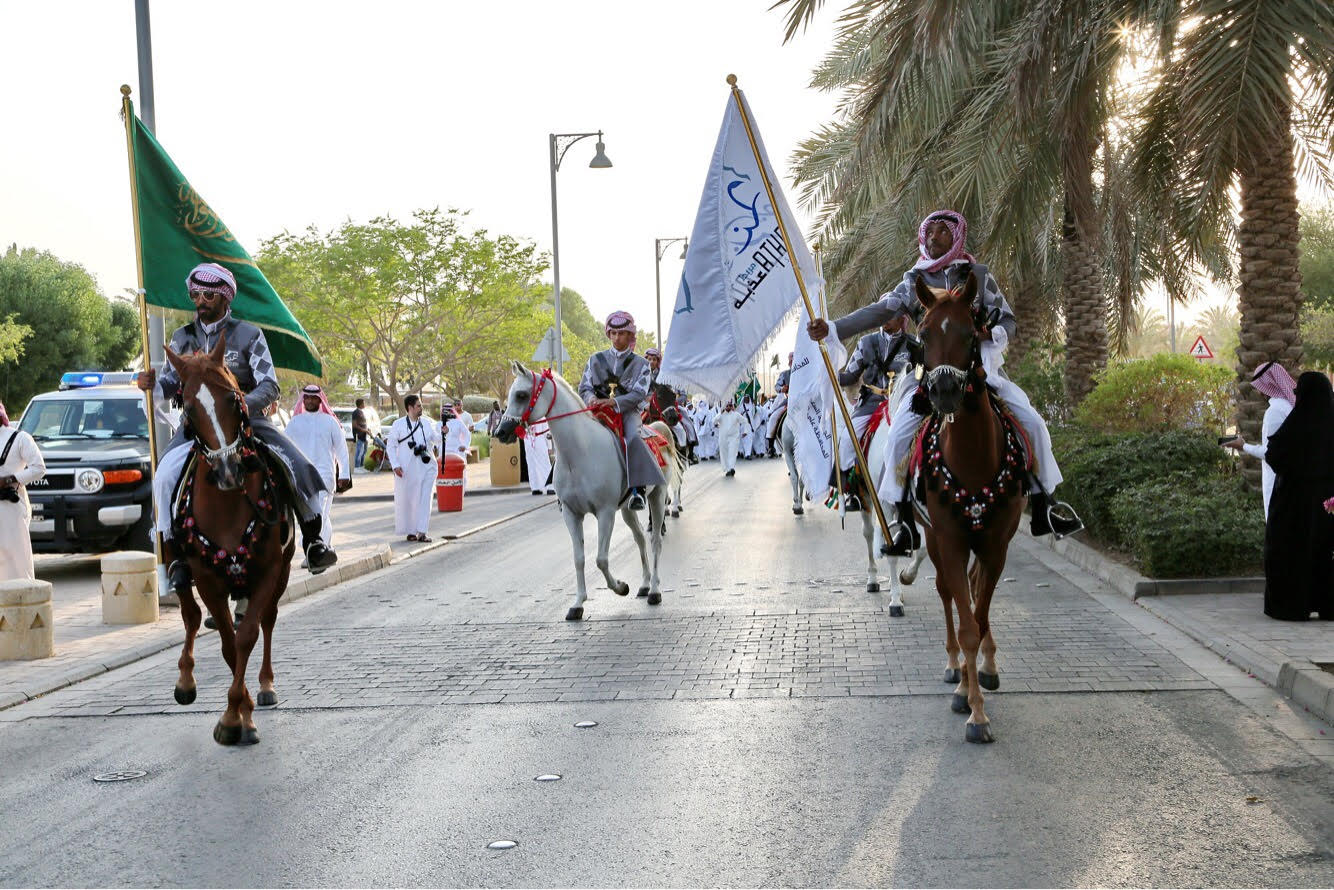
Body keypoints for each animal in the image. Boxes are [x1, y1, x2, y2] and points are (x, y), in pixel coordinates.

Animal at [164, 337, 294, 747]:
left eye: (235, 399)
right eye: (188, 407)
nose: (228, 469)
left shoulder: (269, 570)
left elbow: (246, 637)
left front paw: (239, 715)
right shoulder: (208, 580)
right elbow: (225, 643)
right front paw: (236, 715)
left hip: (280, 573)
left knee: (267, 620)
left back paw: (266, 686)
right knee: (190, 616)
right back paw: (185, 680)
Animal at [496, 360, 683, 619]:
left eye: (521, 395)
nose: (501, 432)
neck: (579, 454)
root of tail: (659, 429)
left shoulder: (605, 512)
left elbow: (601, 559)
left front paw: (620, 587)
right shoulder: (571, 514)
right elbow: (579, 559)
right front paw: (578, 604)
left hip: (657, 496)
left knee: (655, 540)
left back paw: (654, 589)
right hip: (627, 509)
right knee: (639, 539)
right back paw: (644, 585)